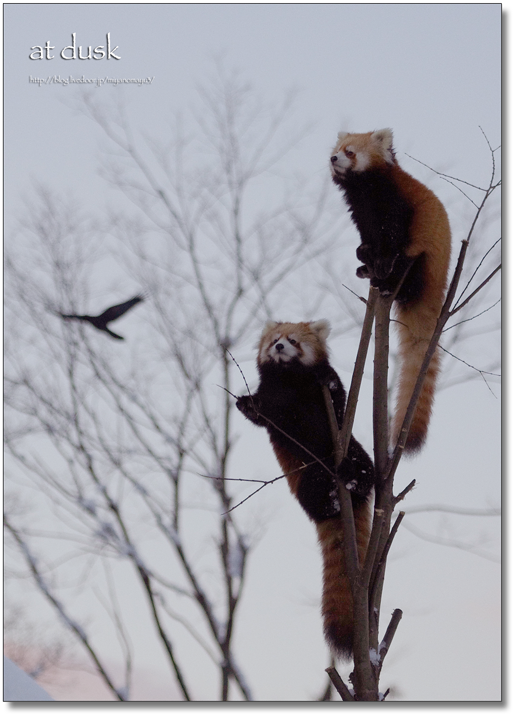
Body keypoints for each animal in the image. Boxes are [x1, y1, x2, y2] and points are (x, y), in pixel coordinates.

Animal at [236, 318, 374, 660]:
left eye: (293, 341)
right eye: (275, 339)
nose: (279, 346)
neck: (291, 380)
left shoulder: (329, 406)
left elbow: (337, 397)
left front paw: (328, 380)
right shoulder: (274, 399)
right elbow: (262, 414)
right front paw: (246, 403)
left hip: (352, 449)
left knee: (366, 468)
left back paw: (353, 478)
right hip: (306, 476)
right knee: (314, 493)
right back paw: (331, 500)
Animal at [334, 129, 450, 454]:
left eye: (349, 152)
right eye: (336, 149)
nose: (333, 159)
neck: (364, 191)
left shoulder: (395, 207)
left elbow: (393, 238)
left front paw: (382, 262)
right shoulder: (362, 215)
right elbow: (368, 241)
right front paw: (365, 255)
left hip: (423, 263)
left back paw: (387, 281)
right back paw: (367, 270)